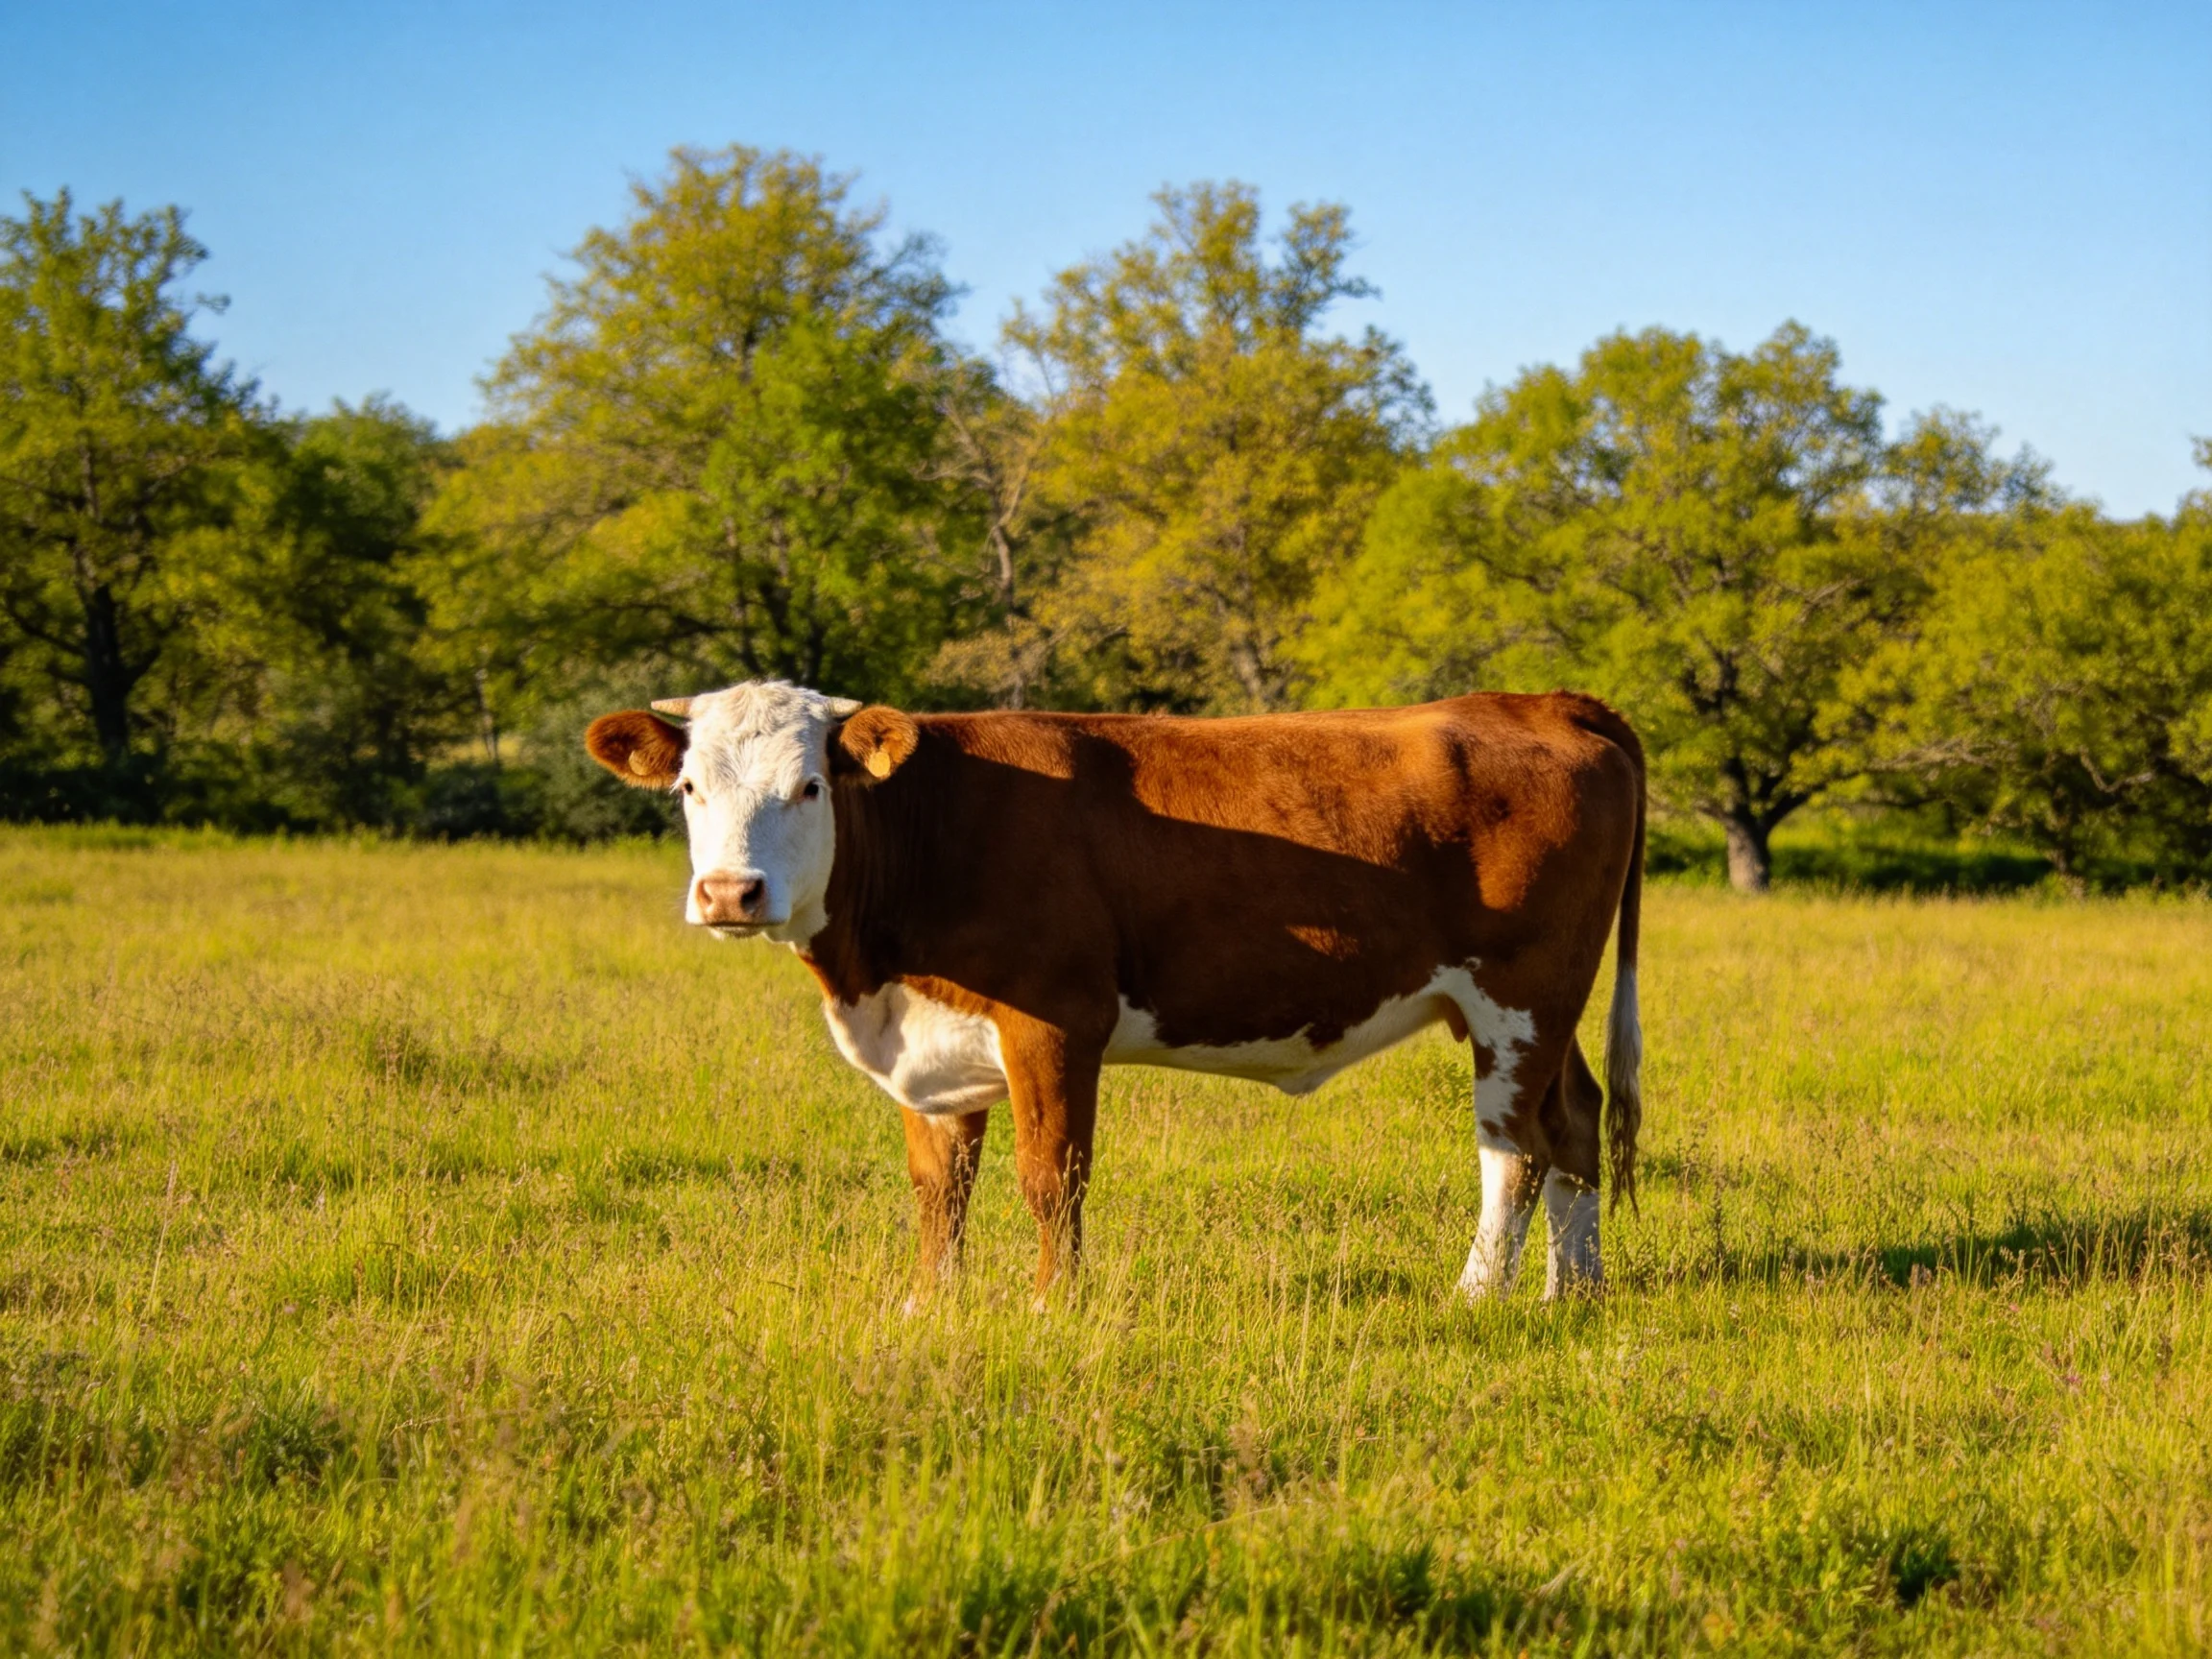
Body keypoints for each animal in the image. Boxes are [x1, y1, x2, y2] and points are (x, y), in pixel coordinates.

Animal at [586, 682, 1645, 1305]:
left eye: (810, 786)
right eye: (688, 788)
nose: (730, 893)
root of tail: (1541, 700)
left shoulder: (1055, 1021)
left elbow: (1051, 1176)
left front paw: (1054, 1305)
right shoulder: (933, 1042)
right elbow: (940, 1185)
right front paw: (932, 1305)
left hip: (1518, 993)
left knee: (1513, 1149)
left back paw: (1479, 1294)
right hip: (1546, 1006)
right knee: (1575, 1120)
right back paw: (1576, 1292)